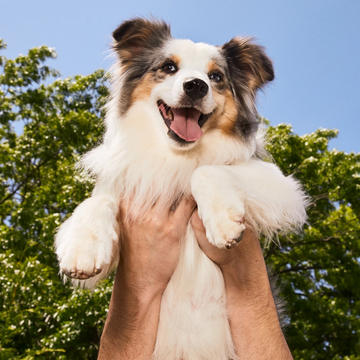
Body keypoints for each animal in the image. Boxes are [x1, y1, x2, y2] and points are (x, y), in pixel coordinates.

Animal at [54, 18, 308, 358]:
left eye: (216, 77)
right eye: (168, 67)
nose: (196, 85)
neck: (176, 154)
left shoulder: (282, 187)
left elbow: (203, 171)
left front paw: (223, 222)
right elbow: (98, 201)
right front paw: (83, 248)